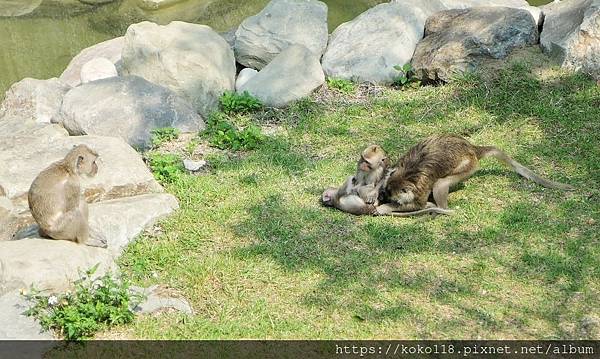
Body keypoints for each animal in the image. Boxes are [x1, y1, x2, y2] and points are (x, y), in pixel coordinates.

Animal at [378, 134, 576, 214]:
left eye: (394, 198)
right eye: (386, 193)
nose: (386, 199)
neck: (406, 175)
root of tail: (472, 148)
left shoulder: (420, 188)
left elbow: (418, 204)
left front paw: (384, 208)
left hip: (469, 165)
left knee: (440, 184)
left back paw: (439, 208)